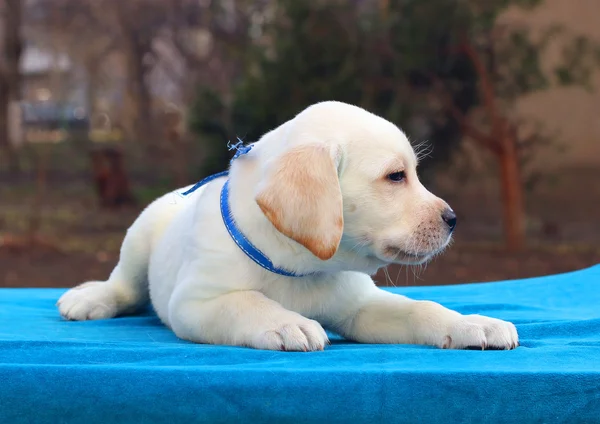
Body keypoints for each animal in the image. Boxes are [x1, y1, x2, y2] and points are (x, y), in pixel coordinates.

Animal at [57, 100, 516, 352]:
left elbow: (420, 308)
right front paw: (286, 321)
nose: (453, 220)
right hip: (138, 239)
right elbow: (247, 302)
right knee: (124, 286)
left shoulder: (361, 307)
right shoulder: (195, 302)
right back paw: (88, 298)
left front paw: (470, 323)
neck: (304, 266)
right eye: (395, 176)